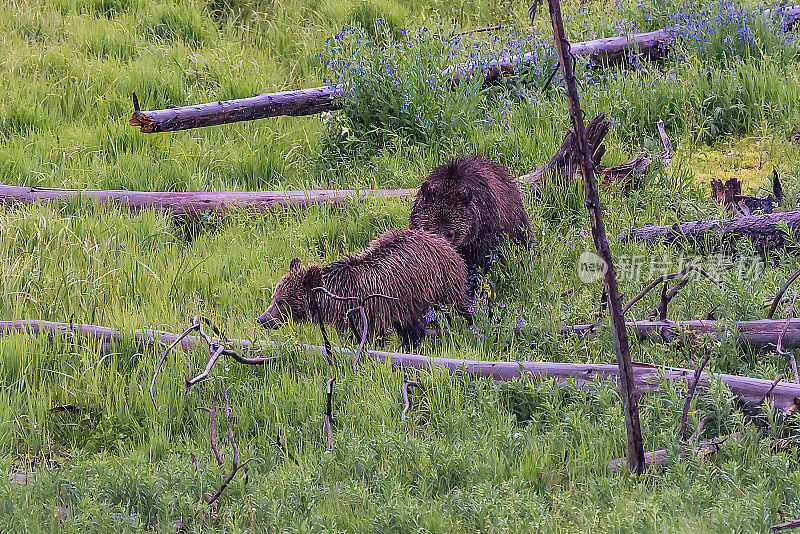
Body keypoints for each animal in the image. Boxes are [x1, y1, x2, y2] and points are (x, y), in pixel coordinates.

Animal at [256, 228, 472, 350]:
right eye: (274, 297)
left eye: (282, 302)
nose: (262, 319)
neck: (337, 300)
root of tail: (440, 240)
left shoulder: (369, 311)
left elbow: (370, 339)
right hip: (407, 299)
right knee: (410, 324)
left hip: (441, 282)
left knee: (457, 306)